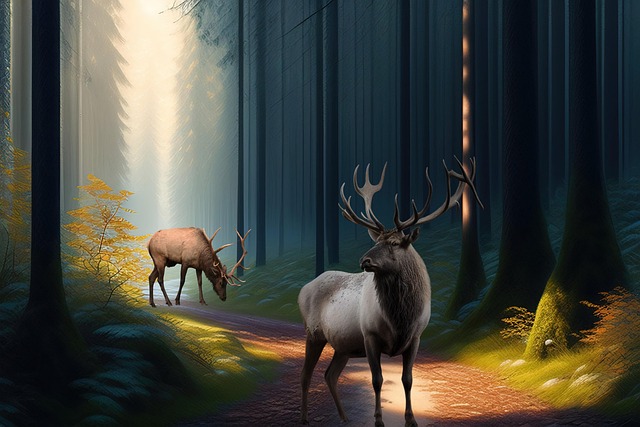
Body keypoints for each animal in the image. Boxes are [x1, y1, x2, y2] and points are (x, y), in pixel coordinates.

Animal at [298, 158, 481, 426]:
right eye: (376, 241)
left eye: (394, 243)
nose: (364, 260)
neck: (400, 320)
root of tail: (303, 289)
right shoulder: (369, 335)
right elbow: (377, 380)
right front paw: (378, 420)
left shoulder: (416, 337)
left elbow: (408, 379)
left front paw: (411, 419)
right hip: (314, 333)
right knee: (305, 374)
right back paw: (304, 418)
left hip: (343, 346)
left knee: (330, 375)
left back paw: (344, 417)